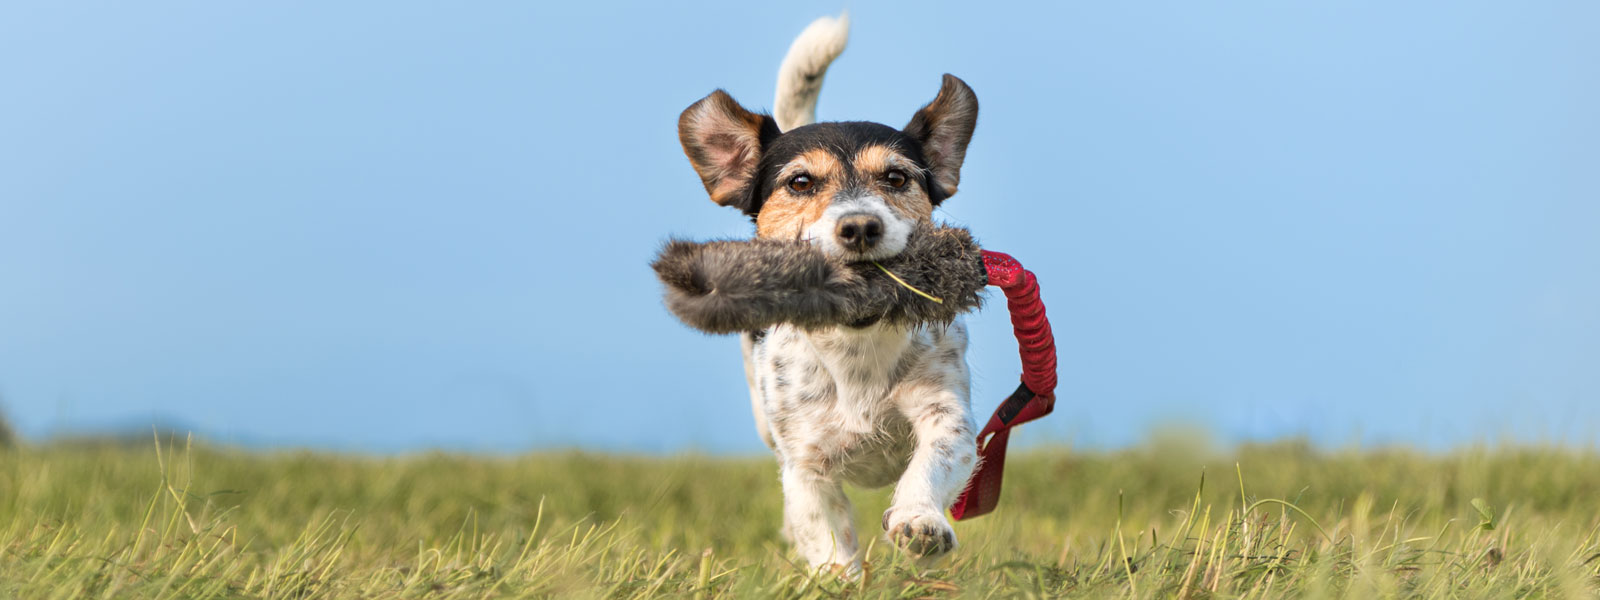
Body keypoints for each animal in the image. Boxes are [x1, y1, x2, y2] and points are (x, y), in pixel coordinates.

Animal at [672, 11, 979, 569]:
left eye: (896, 178)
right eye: (800, 183)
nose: (859, 226)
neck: (855, 340)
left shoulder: (945, 412)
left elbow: (932, 461)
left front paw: (919, 521)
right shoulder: (805, 462)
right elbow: (825, 532)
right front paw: (839, 574)